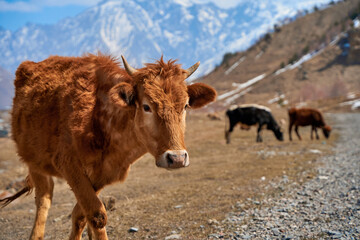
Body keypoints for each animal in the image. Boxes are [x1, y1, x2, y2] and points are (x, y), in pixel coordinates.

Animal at [0, 54, 217, 240]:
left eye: (186, 106)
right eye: (146, 106)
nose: (177, 158)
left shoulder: (102, 173)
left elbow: (82, 214)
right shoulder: (68, 164)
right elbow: (97, 215)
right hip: (34, 162)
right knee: (44, 199)